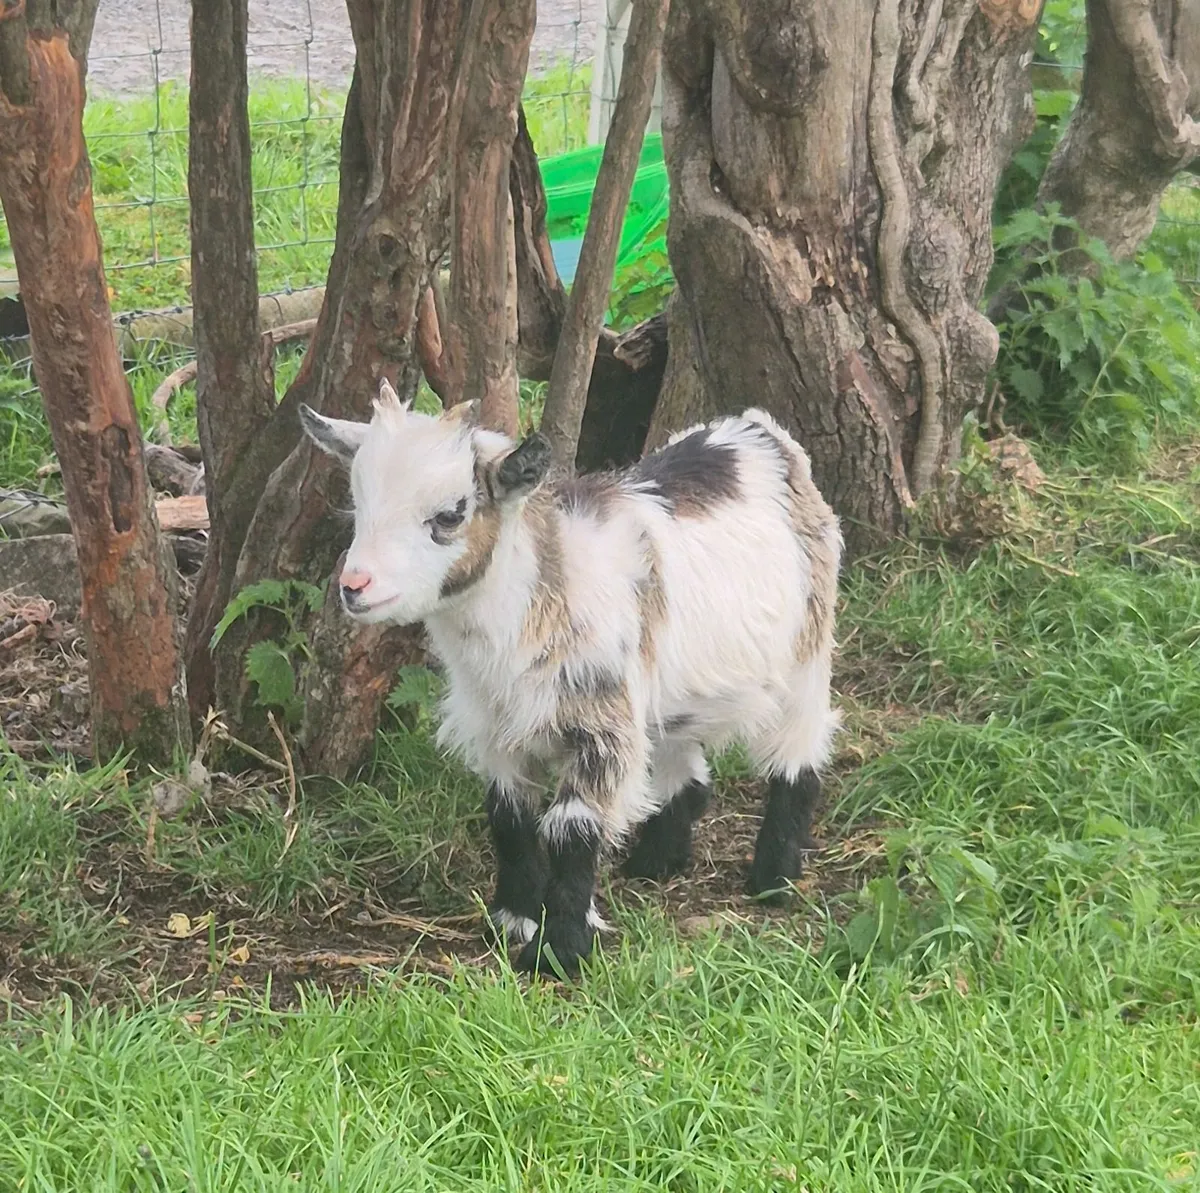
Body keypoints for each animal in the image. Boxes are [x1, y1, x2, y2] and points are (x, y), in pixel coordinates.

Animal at [300, 381, 842, 976]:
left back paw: (774, 876)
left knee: (799, 751)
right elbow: (508, 817)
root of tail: (759, 432)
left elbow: (571, 827)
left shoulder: (600, 723)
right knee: (680, 754)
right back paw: (658, 859)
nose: (355, 585)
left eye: (449, 514)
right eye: (358, 505)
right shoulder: (500, 726)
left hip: (807, 650)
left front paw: (557, 950)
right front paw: (512, 919)